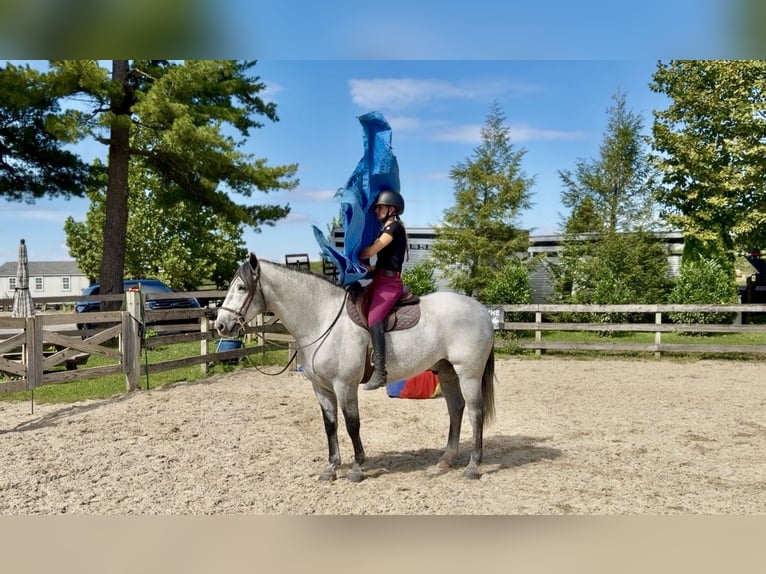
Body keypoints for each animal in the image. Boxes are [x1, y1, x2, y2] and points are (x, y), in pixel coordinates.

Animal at [214, 253, 496, 482]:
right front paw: (331, 468)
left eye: (241, 287)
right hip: (447, 372)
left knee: (475, 412)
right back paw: (446, 460)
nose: (220, 325)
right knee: (455, 409)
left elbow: (352, 424)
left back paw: (473, 466)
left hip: (468, 374)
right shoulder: (322, 388)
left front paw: (358, 468)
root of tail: (481, 309)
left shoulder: (344, 385)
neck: (322, 319)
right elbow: (330, 425)